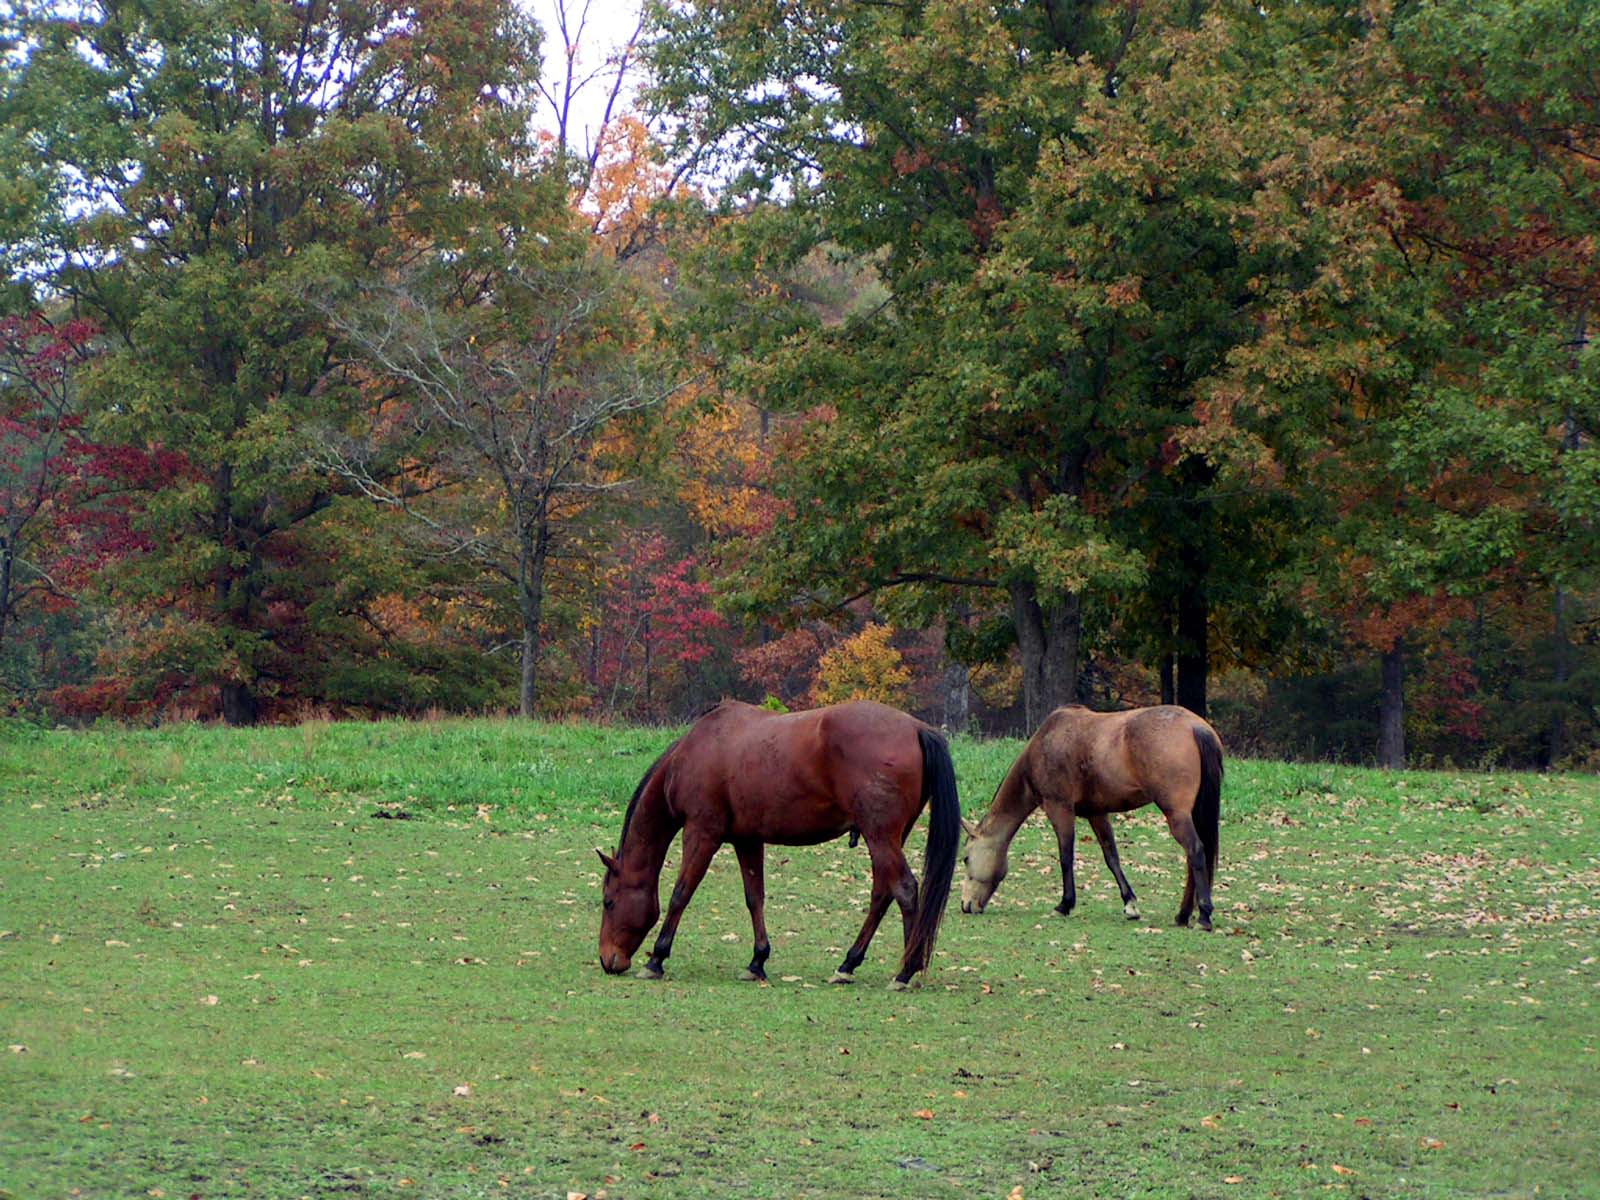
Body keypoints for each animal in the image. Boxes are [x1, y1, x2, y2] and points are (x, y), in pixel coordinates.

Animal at [595, 700, 953, 992]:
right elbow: (754, 898)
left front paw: (656, 958)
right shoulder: (747, 840)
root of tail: (916, 728)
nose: (607, 960)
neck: (698, 750)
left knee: (904, 889)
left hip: (880, 836)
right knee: (882, 893)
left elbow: (681, 894)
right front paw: (757, 962)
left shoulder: (701, 833)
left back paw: (905, 971)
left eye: (608, 902)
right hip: (887, 838)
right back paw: (848, 964)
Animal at [960, 710, 1222, 934]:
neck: (1046, 743)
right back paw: (1183, 915)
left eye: (965, 858)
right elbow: (1111, 857)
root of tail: (1195, 726)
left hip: (1177, 815)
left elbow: (1066, 857)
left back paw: (1203, 916)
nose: (966, 905)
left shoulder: (1060, 809)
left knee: (1195, 852)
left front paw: (1064, 905)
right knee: (1192, 859)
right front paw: (1130, 905)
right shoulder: (1097, 814)